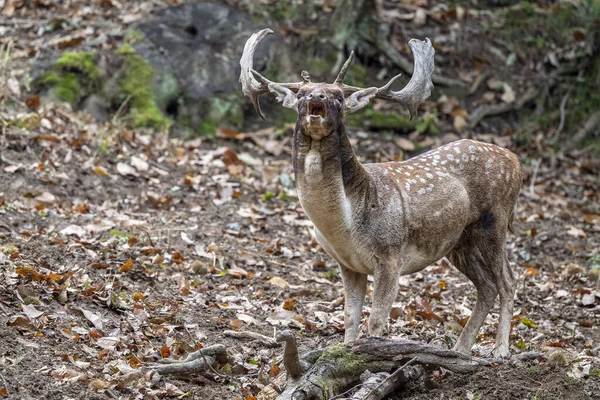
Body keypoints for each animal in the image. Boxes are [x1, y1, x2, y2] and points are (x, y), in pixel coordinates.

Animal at [239, 28, 520, 360]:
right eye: (302, 94)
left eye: (338, 97)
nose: (317, 97)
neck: (344, 226)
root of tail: (516, 161)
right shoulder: (347, 264)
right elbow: (349, 317)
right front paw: (345, 351)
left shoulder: (391, 255)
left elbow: (376, 321)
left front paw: (369, 355)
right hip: (458, 240)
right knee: (487, 286)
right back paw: (461, 349)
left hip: (495, 220)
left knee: (507, 281)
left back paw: (501, 350)